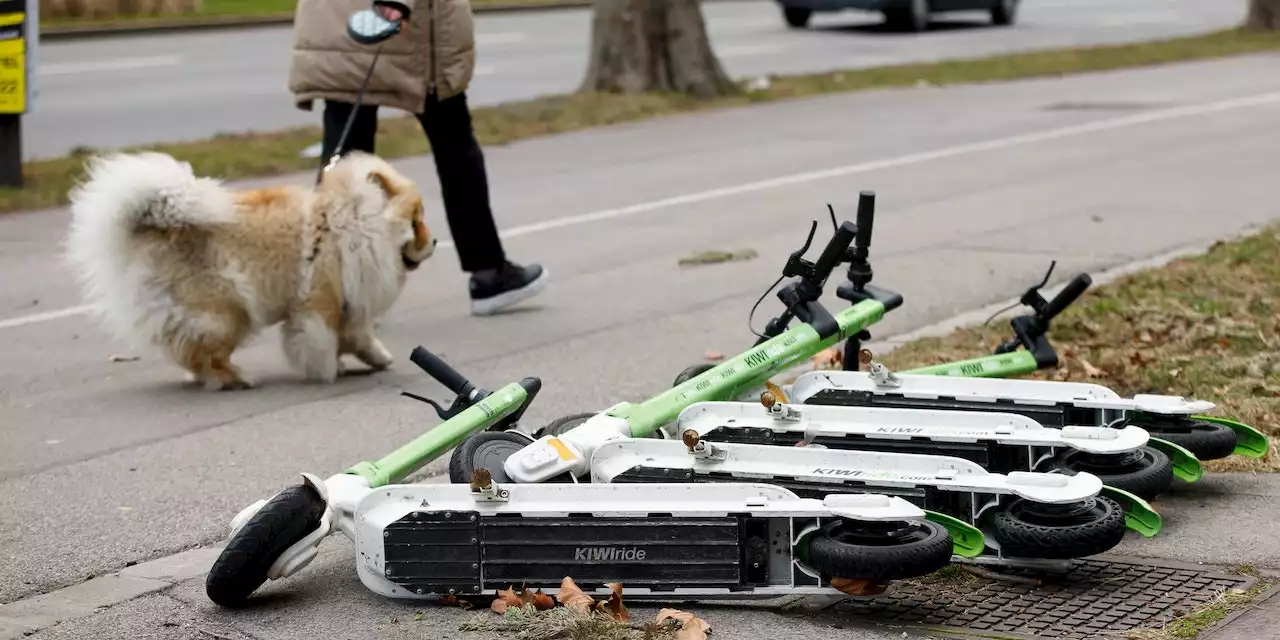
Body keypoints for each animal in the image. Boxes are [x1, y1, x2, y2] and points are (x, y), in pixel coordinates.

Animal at [66, 151, 440, 389]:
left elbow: (358, 336)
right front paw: (329, 370)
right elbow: (321, 340)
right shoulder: (320, 302)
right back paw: (236, 379)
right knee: (205, 354)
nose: (435, 240)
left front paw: (378, 358)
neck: (354, 224)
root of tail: (151, 229)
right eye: (416, 220)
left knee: (189, 352)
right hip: (227, 314)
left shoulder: (349, 300)